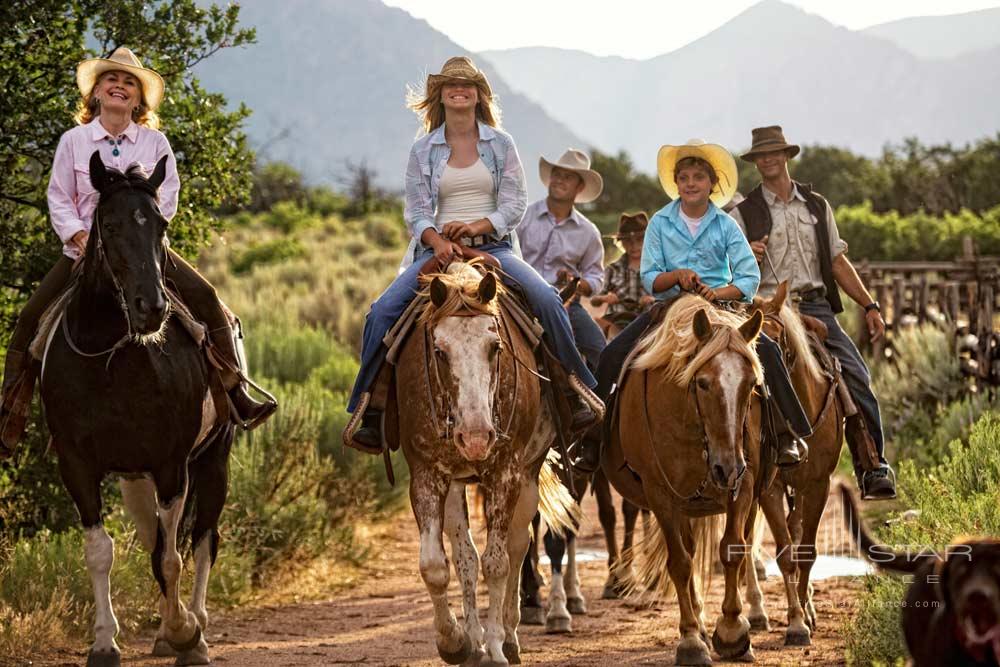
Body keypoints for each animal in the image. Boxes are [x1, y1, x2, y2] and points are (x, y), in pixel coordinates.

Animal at [40, 151, 233, 667]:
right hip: (134, 478)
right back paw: (167, 631)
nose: (152, 308)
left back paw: (194, 627)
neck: (109, 360)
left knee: (203, 540)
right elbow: (101, 551)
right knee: (156, 538)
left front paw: (186, 632)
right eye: (108, 223)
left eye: (161, 224)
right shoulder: (78, 465)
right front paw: (105, 641)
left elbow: (171, 556)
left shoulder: (171, 465)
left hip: (214, 460)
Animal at [600, 298, 764, 667]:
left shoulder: (744, 485)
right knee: (687, 552)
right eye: (702, 382)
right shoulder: (660, 494)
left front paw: (732, 631)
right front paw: (691, 640)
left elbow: (732, 549)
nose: (726, 467)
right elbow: (680, 563)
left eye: (751, 384)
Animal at [744, 284, 844, 648]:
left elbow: (807, 551)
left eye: (777, 342)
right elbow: (786, 554)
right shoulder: (770, 488)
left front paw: (806, 611)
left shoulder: (818, 484)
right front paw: (796, 623)